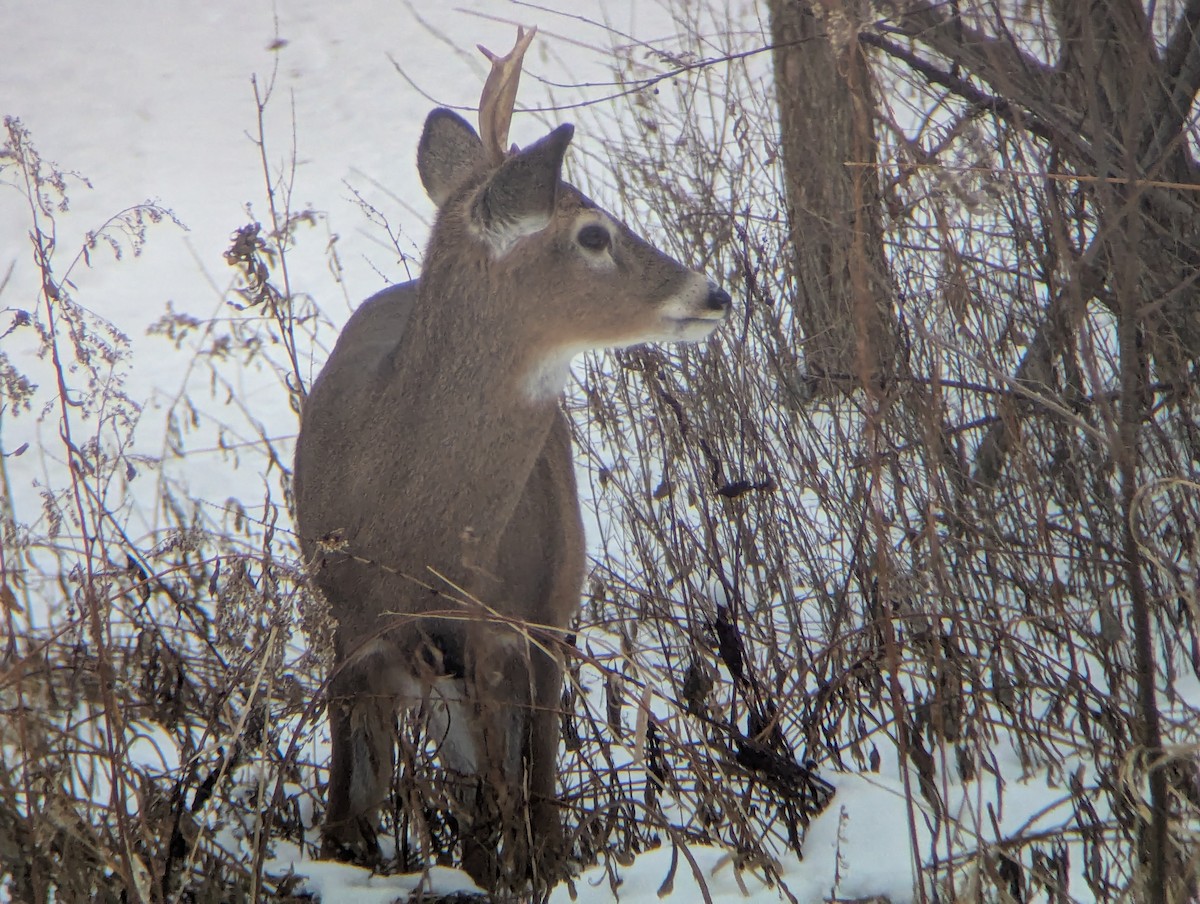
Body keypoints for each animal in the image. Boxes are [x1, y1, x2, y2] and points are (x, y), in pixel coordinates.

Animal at [293, 27, 730, 897]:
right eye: (593, 233)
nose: (712, 294)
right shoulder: (349, 628)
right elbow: (350, 805)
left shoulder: (501, 628)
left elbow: (507, 802)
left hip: (554, 599)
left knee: (530, 782)